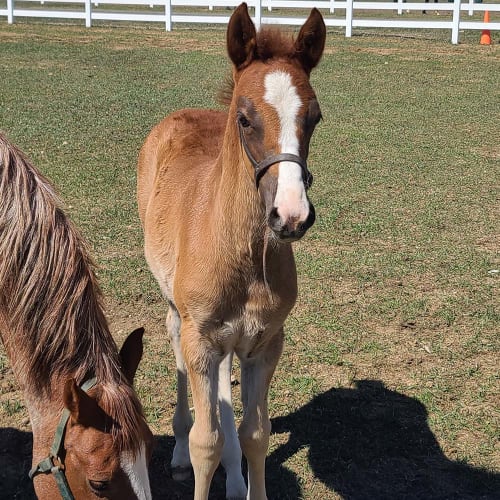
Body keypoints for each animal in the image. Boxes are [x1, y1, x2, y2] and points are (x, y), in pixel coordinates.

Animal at [138, 4, 324, 500]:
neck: (243, 255)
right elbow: (207, 442)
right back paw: (178, 453)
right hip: (179, 314)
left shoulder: (265, 342)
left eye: (315, 117)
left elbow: (255, 433)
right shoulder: (200, 338)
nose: (291, 215)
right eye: (244, 118)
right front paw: (196, 456)